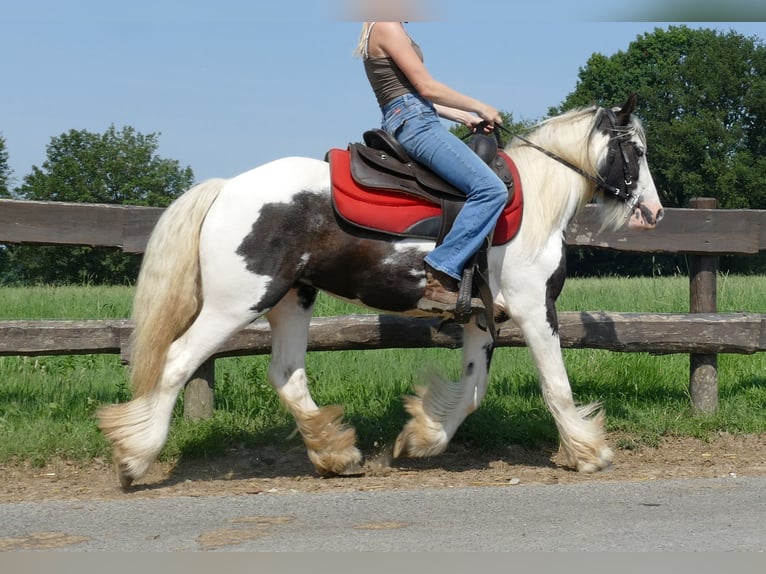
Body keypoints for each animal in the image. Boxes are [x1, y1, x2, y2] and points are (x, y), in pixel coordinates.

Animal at [100, 95, 664, 490]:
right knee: (177, 361)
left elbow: (472, 391)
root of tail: (226, 188)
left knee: (286, 374)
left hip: (292, 300)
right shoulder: (533, 310)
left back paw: (337, 455)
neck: (537, 203)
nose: (653, 212)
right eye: (635, 150)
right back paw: (134, 458)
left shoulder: (483, 320)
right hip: (235, 304)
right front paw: (589, 452)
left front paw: (421, 439)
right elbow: (556, 386)